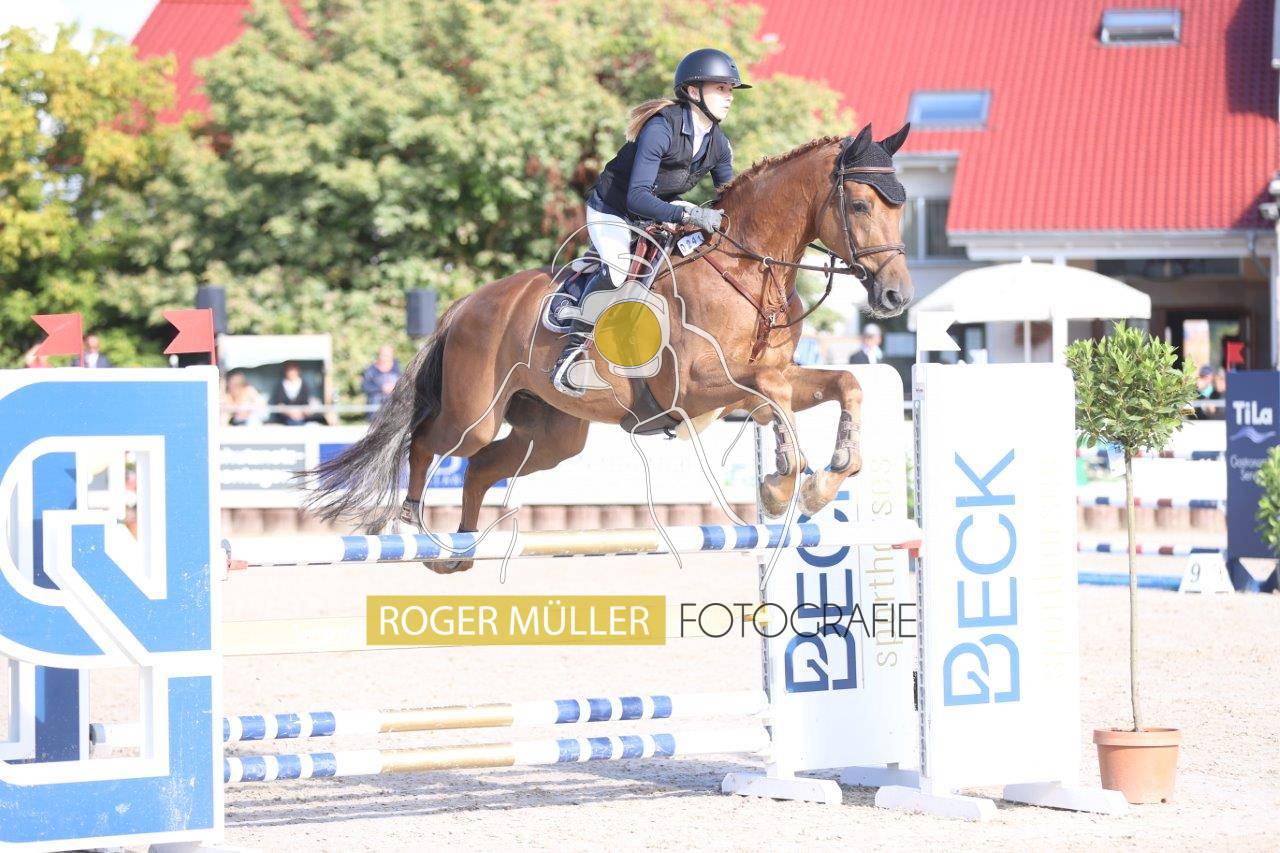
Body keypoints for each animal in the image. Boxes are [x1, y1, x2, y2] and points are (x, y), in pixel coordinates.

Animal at [306, 123, 915, 572]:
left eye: (902, 208)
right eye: (861, 206)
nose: (896, 295)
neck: (746, 270)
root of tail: (465, 305)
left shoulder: (760, 383)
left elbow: (843, 383)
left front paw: (821, 481)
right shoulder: (693, 389)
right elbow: (773, 394)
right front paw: (784, 483)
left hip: (551, 434)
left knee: (479, 467)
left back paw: (458, 552)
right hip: (474, 412)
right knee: (430, 442)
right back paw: (411, 522)